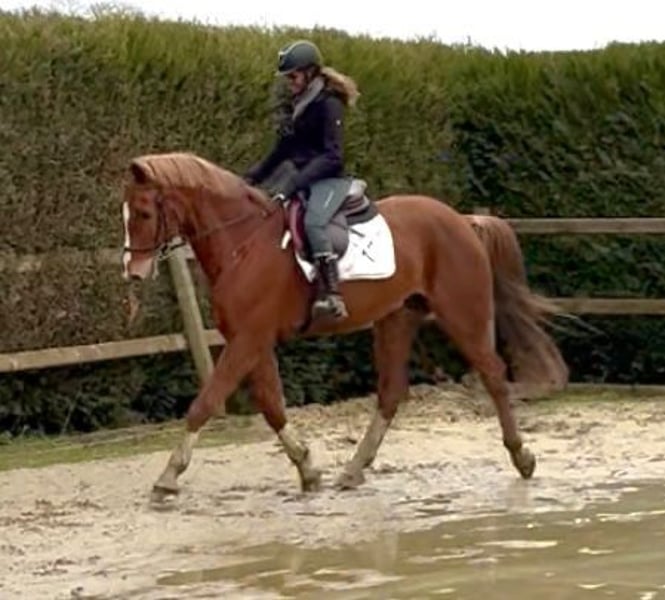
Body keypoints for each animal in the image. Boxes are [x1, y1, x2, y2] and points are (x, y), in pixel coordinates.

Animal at [121, 151, 556, 500]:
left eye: (143, 213)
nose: (133, 273)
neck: (242, 243)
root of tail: (464, 220)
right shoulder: (252, 341)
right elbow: (272, 406)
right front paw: (307, 469)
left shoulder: (247, 340)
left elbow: (205, 403)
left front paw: (168, 476)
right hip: (397, 318)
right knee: (391, 393)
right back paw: (354, 469)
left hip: (462, 314)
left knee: (493, 375)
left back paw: (522, 457)